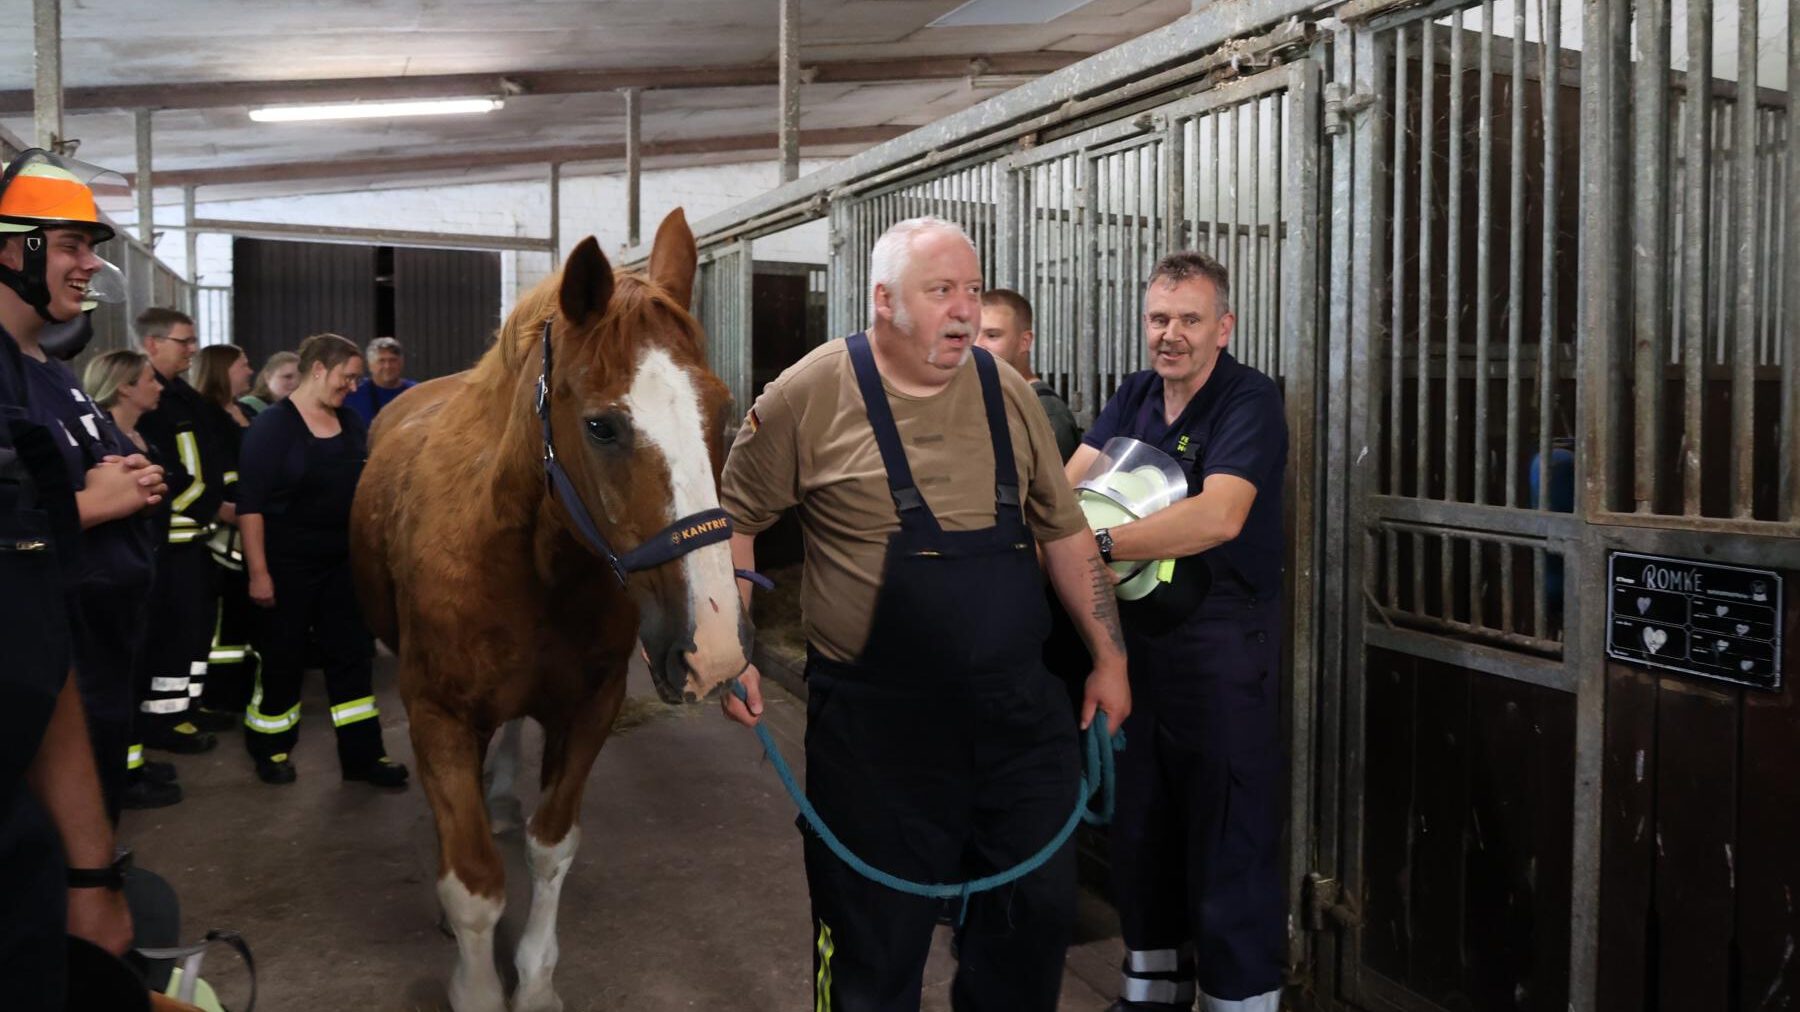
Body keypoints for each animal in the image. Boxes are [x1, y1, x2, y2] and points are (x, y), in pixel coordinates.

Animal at [354, 207, 748, 1008]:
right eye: (601, 426)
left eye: (722, 410)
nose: (715, 649)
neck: (527, 563)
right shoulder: (437, 712)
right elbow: (473, 882)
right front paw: (475, 986)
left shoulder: (590, 706)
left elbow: (552, 846)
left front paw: (534, 982)